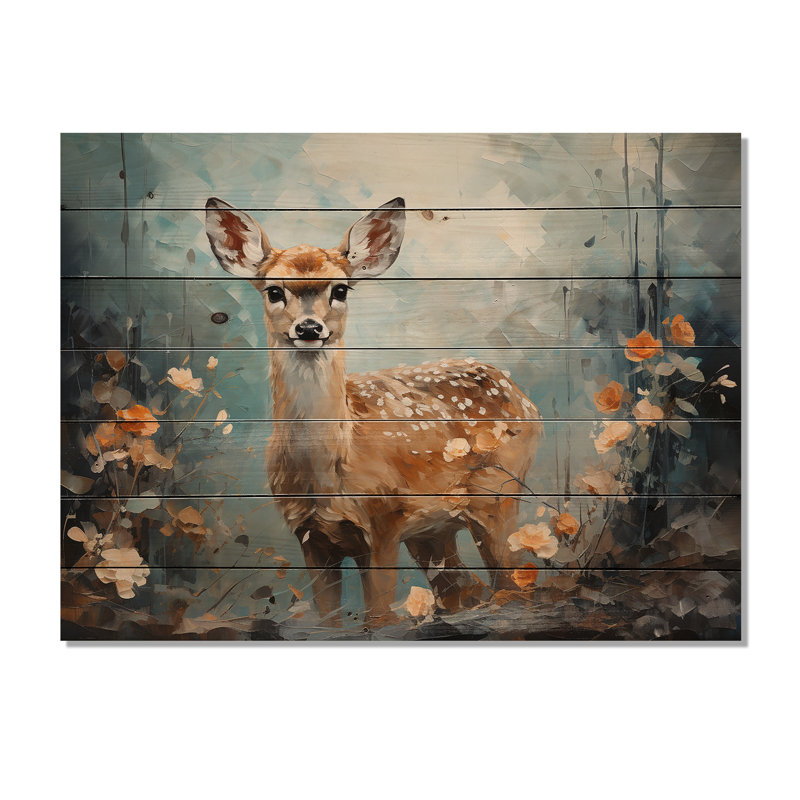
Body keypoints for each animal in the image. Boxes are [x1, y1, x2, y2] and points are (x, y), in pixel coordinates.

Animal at [205, 197, 543, 626]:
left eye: (341, 289)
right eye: (274, 290)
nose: (309, 328)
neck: (330, 474)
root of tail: (523, 396)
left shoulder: (383, 523)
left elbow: (379, 618)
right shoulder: (309, 535)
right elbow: (328, 620)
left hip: (497, 494)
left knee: (515, 584)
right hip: (435, 530)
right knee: (464, 590)